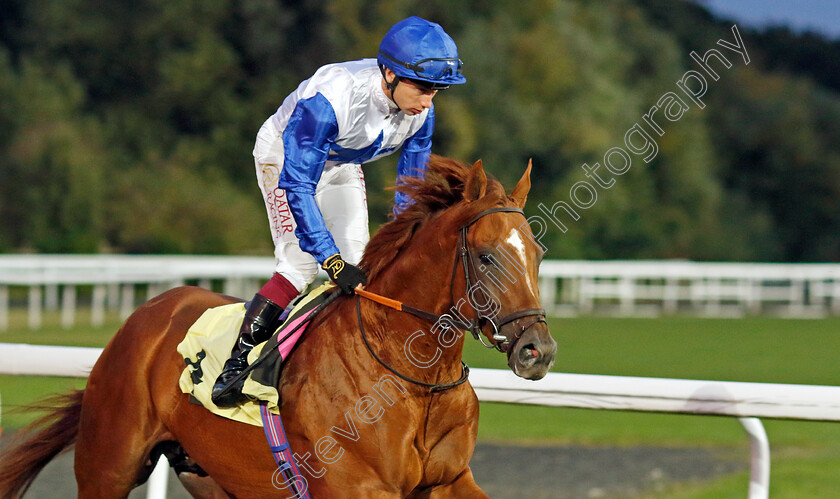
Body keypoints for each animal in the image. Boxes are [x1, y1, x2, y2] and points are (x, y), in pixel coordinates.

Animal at [0, 155, 556, 496]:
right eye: (486, 257)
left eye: (537, 253)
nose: (538, 350)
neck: (414, 376)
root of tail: (148, 313)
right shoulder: (359, 487)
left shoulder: (449, 479)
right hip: (108, 465)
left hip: (213, 475)